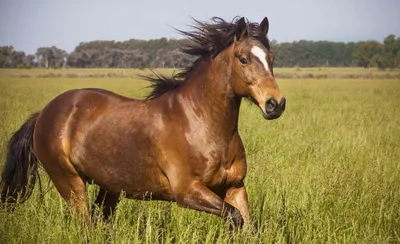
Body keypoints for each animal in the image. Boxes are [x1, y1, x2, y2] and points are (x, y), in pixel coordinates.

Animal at [1, 17, 286, 229]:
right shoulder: (188, 192)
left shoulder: (235, 187)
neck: (201, 124)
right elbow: (234, 218)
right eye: (243, 58)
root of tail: (44, 113)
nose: (276, 104)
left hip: (109, 188)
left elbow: (246, 224)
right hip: (70, 183)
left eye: (272, 58)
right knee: (85, 224)